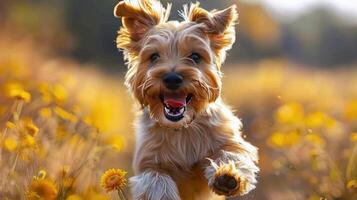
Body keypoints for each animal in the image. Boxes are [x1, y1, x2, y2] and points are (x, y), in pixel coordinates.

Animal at [114, 0, 258, 199]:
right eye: (154, 56)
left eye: (195, 56)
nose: (172, 78)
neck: (182, 129)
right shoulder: (149, 163)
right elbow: (157, 182)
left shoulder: (229, 140)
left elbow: (232, 153)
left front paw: (227, 175)